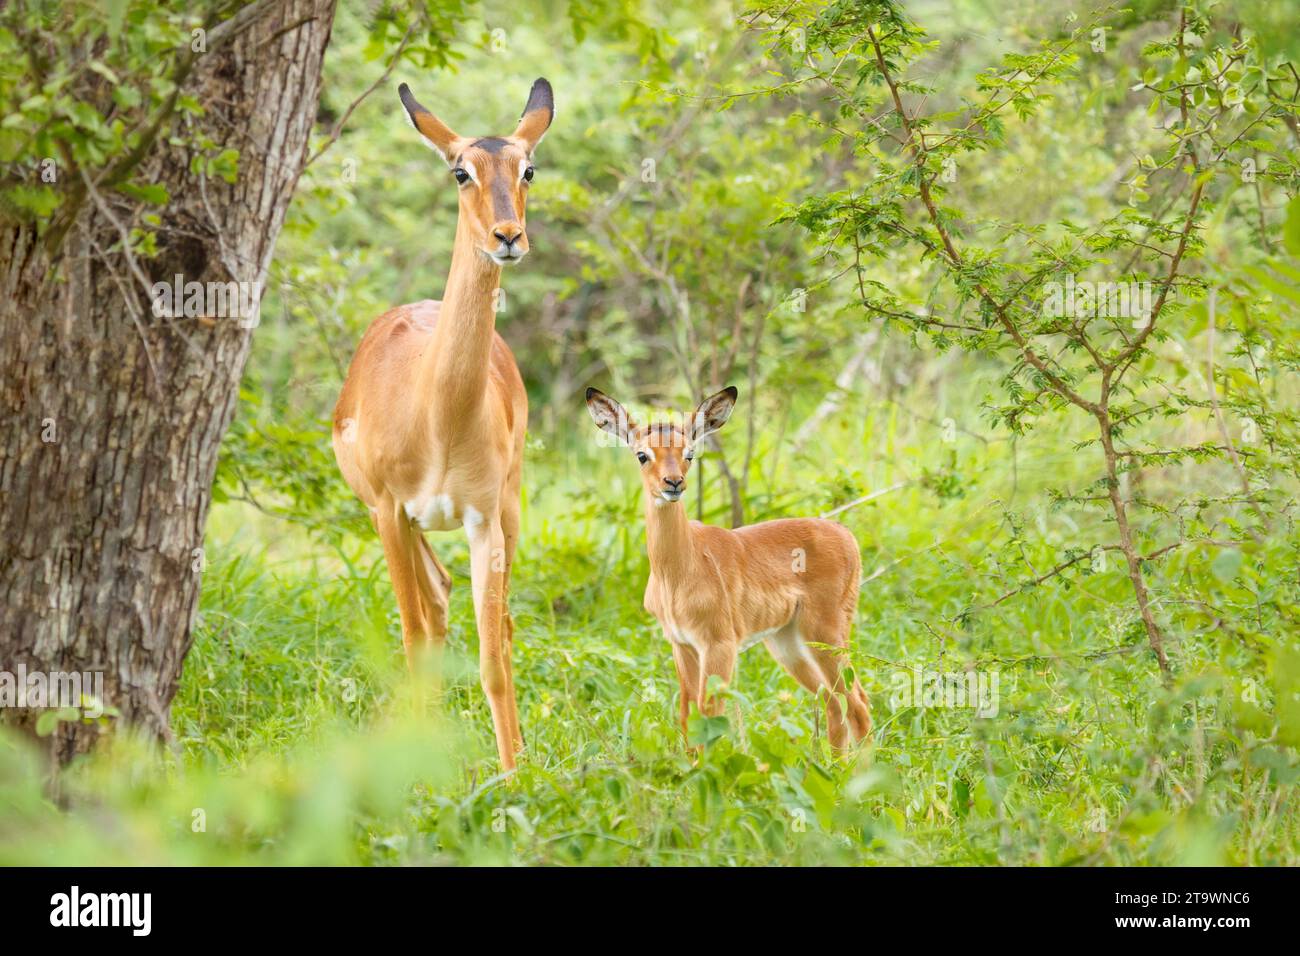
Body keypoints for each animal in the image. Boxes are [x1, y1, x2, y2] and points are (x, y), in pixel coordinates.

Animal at [332, 78, 554, 771]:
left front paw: (515, 776)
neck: (438, 417)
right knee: (431, 608)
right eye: (461, 171)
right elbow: (412, 635)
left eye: (528, 168)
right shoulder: (388, 512)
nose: (508, 235)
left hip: (510, 510)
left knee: (491, 623)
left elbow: (491, 661)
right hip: (404, 524)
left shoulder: (484, 521)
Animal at [585, 386, 872, 749]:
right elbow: (688, 716)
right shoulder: (682, 646)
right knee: (835, 705)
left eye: (690, 453)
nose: (673, 482)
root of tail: (845, 533)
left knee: (858, 706)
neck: (678, 572)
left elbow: (709, 716)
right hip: (788, 643)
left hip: (826, 633)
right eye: (642, 454)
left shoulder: (718, 645)